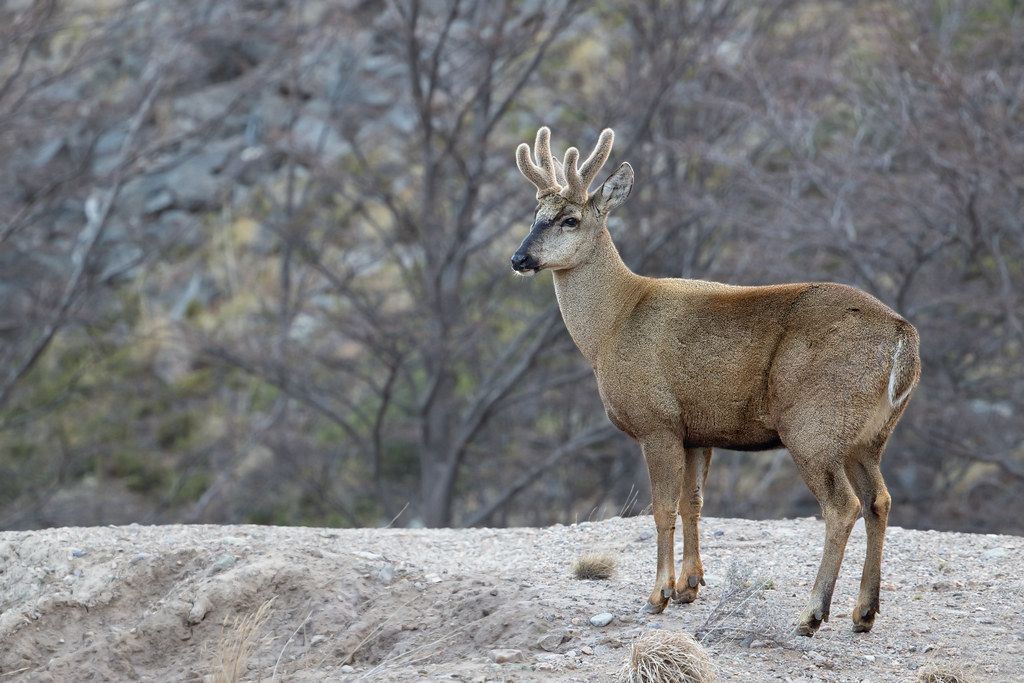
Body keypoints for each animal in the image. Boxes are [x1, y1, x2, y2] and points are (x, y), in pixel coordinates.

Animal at [512, 126, 921, 634]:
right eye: (534, 215)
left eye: (569, 219)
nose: (519, 257)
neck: (613, 325)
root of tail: (902, 335)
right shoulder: (696, 431)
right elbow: (694, 503)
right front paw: (689, 586)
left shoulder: (657, 422)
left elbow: (662, 508)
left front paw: (658, 595)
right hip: (869, 435)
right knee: (878, 500)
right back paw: (863, 612)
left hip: (815, 423)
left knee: (842, 506)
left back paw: (812, 613)